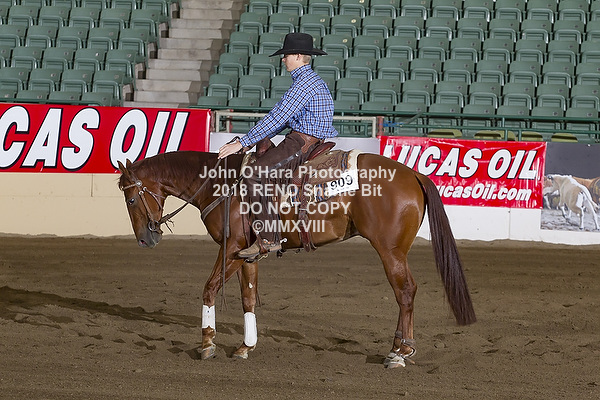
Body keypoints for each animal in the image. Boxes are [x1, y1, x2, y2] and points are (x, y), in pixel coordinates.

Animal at [117, 149, 476, 368]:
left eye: (131, 198)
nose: (145, 239)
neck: (222, 186)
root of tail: (413, 175)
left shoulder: (231, 248)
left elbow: (209, 289)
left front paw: (207, 344)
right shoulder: (248, 254)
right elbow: (248, 298)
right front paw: (246, 346)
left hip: (390, 251)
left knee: (405, 292)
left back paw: (399, 353)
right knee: (406, 293)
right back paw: (399, 349)